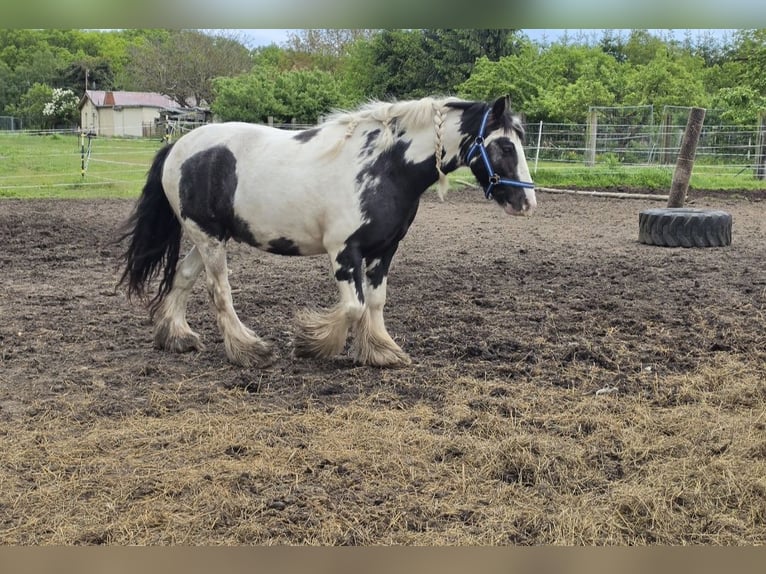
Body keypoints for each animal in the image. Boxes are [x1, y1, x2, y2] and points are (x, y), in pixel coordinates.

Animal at [117, 95, 536, 368]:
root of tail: (178, 146)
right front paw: (312, 344)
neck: (384, 167)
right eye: (503, 146)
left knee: (184, 277)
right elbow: (353, 307)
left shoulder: (384, 251)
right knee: (219, 291)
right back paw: (249, 350)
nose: (527, 203)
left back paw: (177, 337)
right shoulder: (344, 252)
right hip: (208, 238)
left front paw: (382, 351)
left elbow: (376, 303)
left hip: (209, 237)